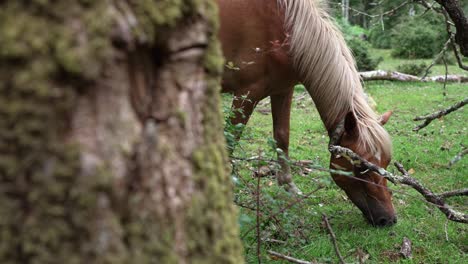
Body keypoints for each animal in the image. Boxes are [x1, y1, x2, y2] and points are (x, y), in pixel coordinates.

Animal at [218, 0, 396, 227]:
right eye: (361, 169)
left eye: (386, 163)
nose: (388, 219)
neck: (285, 28)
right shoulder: (246, 93)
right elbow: (231, 139)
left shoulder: (282, 90)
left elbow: (282, 137)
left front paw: (288, 186)